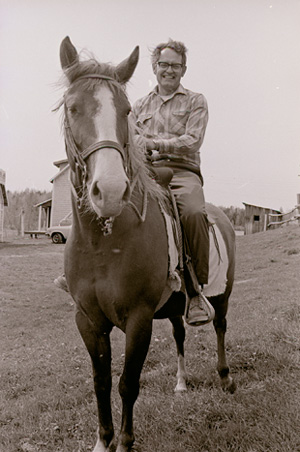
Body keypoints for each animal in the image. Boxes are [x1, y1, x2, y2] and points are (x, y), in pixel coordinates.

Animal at [58, 36, 237, 452]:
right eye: (73, 108)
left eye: (125, 110)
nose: (109, 191)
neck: (104, 244)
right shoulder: (88, 320)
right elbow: (100, 383)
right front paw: (102, 441)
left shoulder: (138, 319)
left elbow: (127, 384)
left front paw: (124, 442)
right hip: (174, 307)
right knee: (180, 333)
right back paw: (181, 383)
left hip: (222, 295)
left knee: (220, 327)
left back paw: (224, 377)